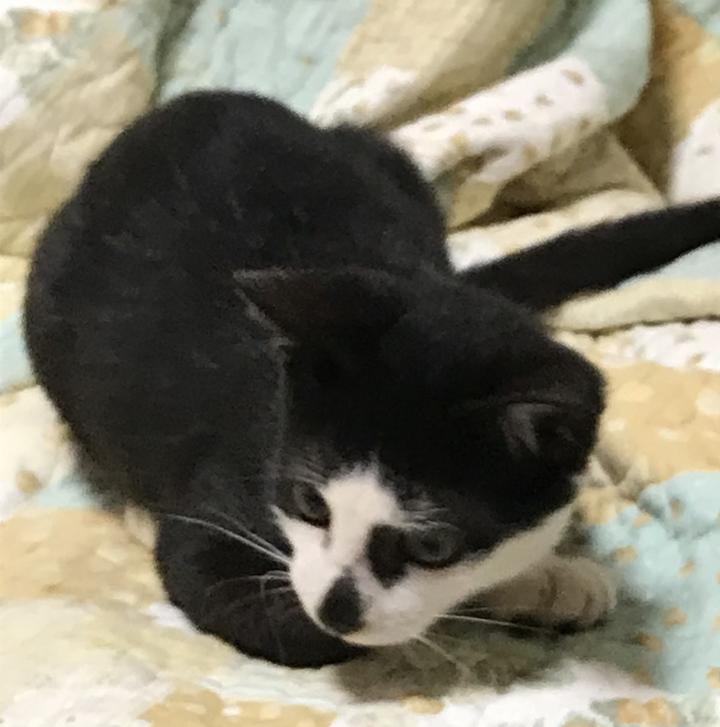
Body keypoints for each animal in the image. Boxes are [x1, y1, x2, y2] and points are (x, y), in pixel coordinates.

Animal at [24, 90, 720, 667]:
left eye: (433, 546)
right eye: (309, 503)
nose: (338, 607)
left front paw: (538, 574)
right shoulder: (223, 503)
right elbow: (280, 615)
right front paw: (536, 585)